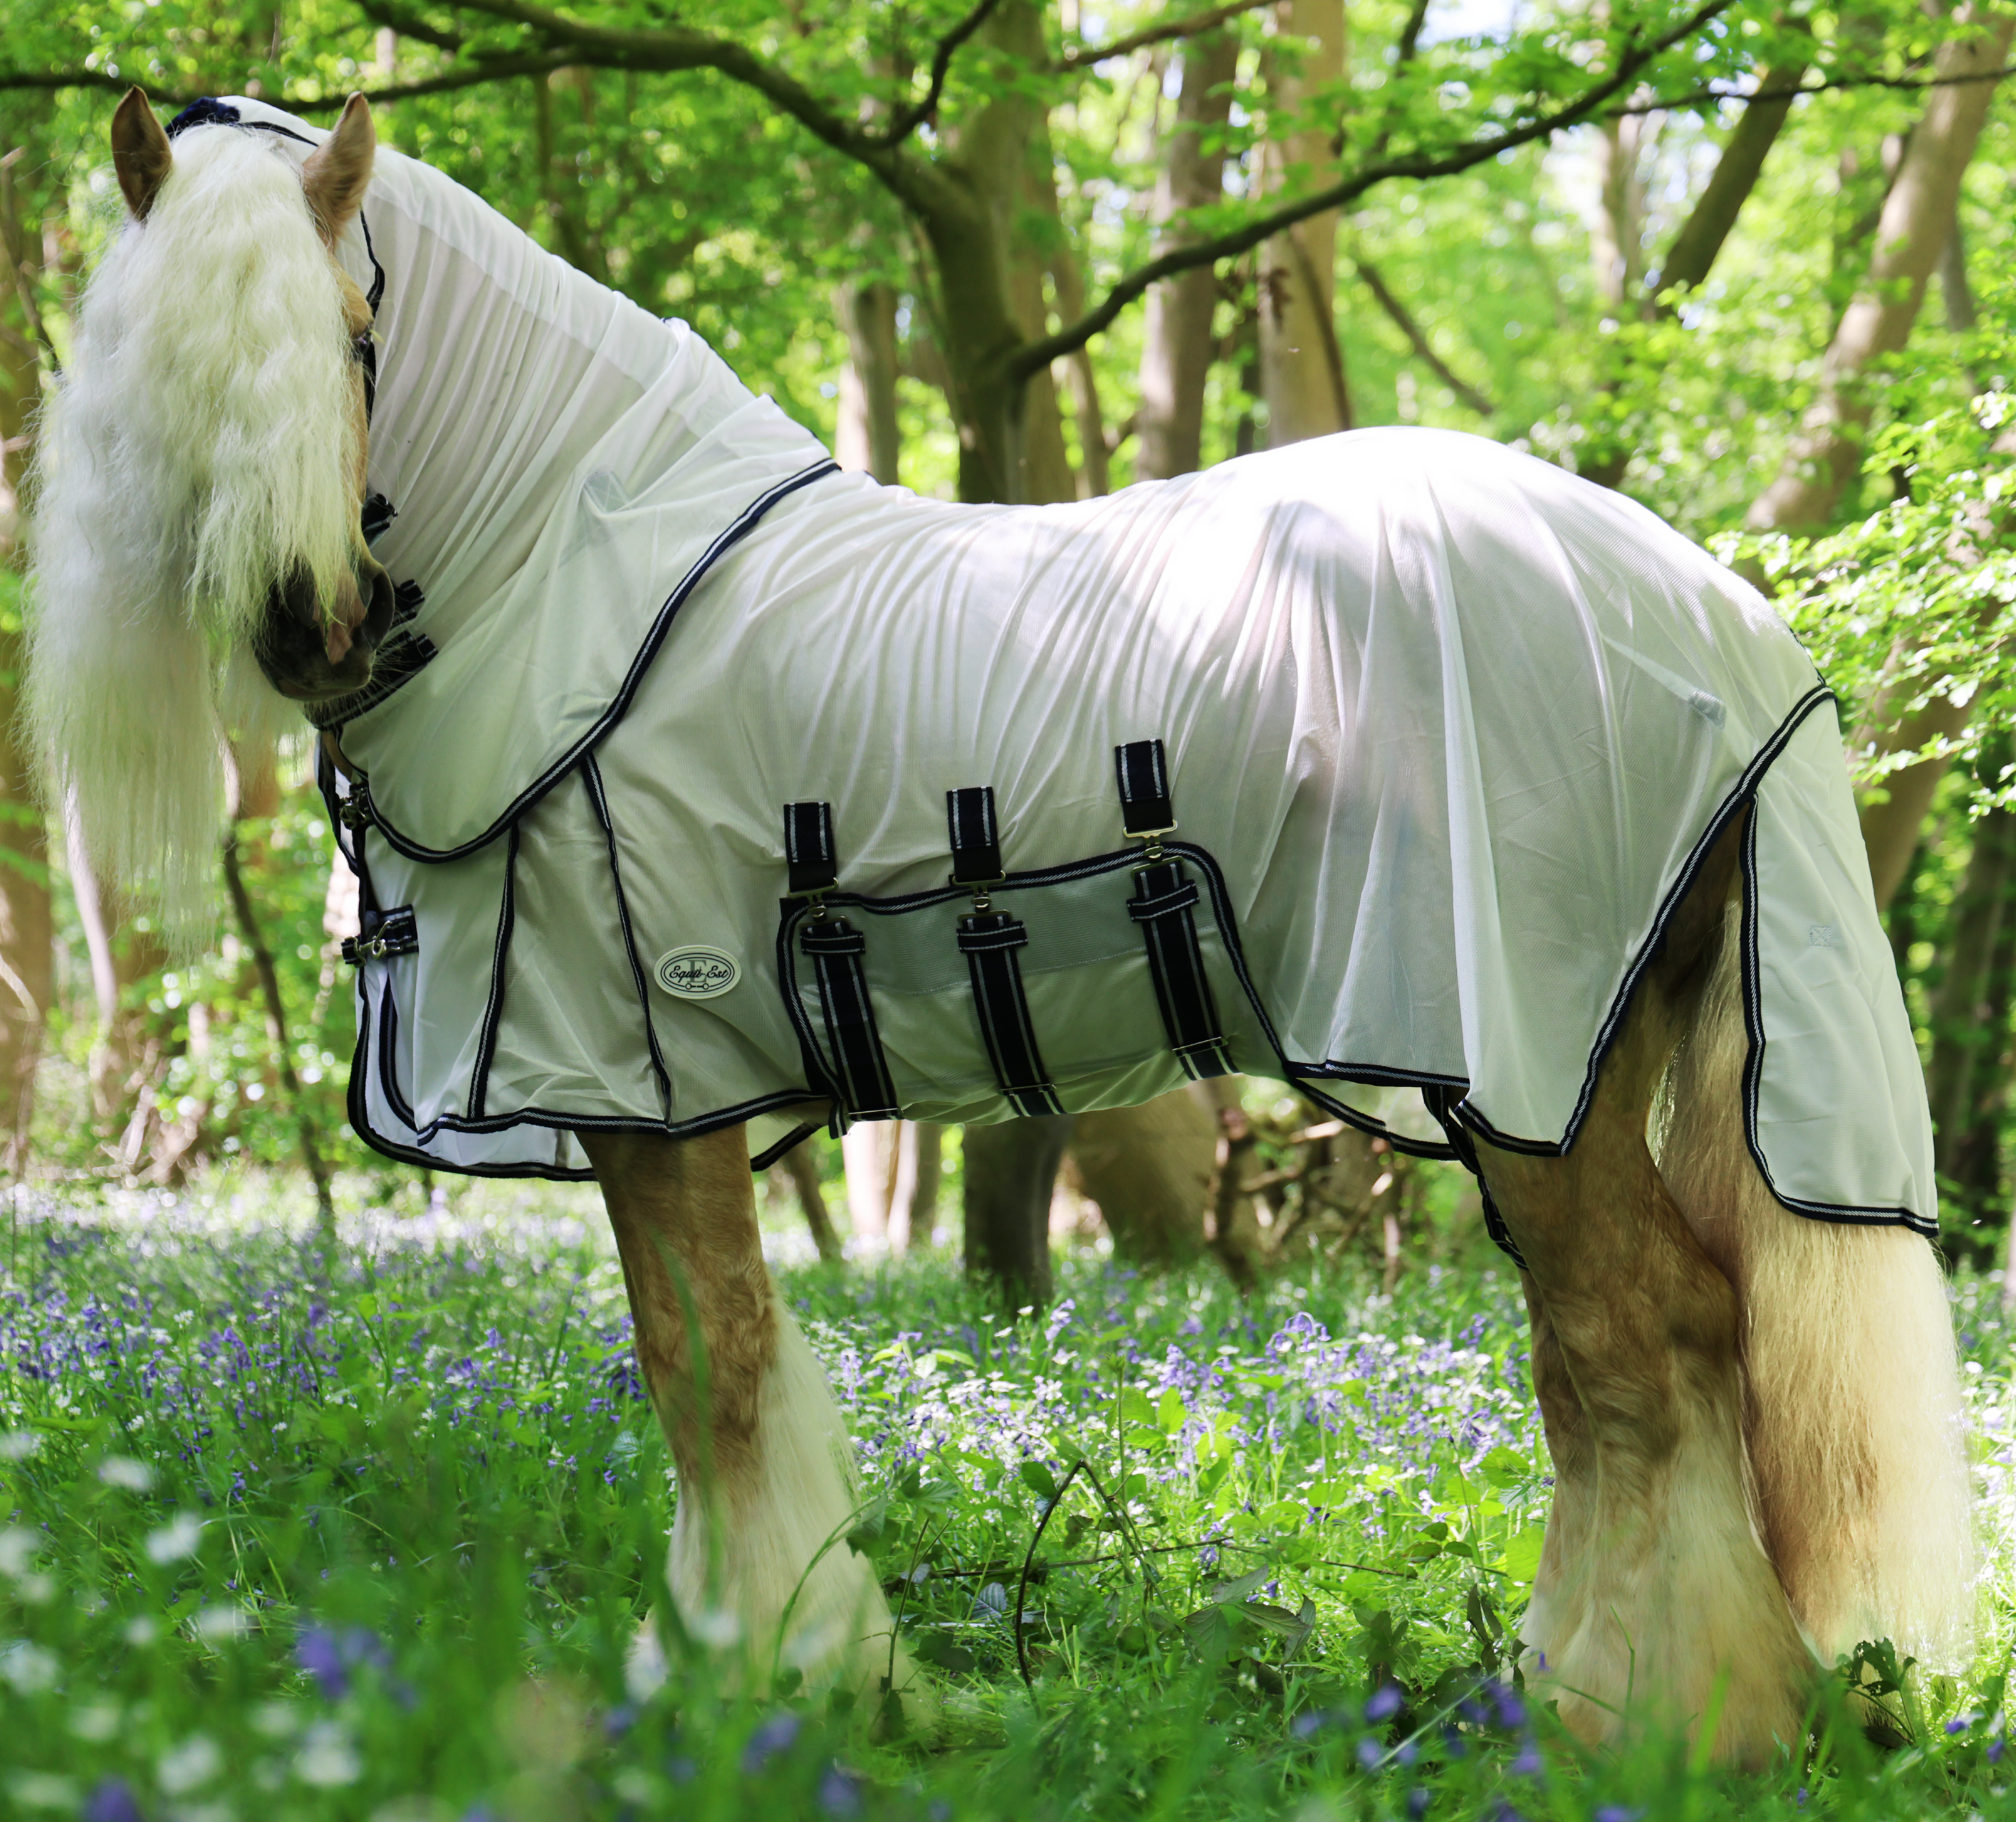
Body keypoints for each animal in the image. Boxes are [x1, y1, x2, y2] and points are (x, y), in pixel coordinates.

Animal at [25, 88, 1975, 1762]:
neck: (576, 569)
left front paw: (762, 1682)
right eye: (162, 377)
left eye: (349, 330)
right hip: (1558, 1077)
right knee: (1643, 1355)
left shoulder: (650, 1083)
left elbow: (709, 1367)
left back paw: (1638, 1728)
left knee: (1642, 1345)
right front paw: (787, 1665)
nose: (317, 631)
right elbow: (728, 1365)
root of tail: (1725, 620)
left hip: (1521, 1073)